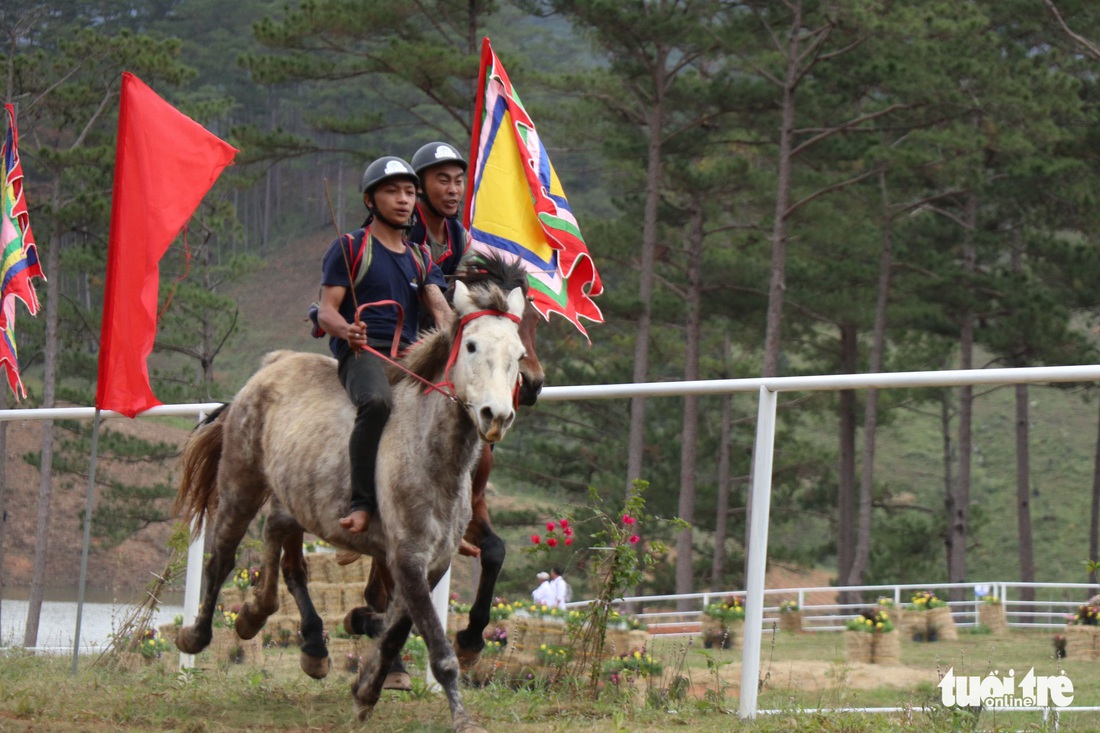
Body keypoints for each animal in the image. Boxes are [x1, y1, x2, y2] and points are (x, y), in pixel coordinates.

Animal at [173, 275, 525, 730]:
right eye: (472, 346)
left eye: (519, 354)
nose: (495, 416)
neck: (428, 450)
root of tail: (273, 365)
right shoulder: (407, 558)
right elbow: (438, 650)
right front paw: (462, 717)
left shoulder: (433, 562)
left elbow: (396, 631)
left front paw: (365, 691)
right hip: (240, 485)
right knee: (223, 559)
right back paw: (198, 635)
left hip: (292, 496)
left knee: (279, 544)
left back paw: (262, 616)